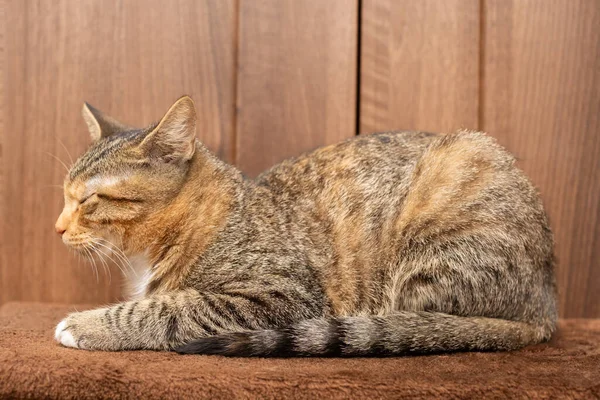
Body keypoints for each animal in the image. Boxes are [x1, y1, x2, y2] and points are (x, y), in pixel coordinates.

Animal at [54, 96, 556, 356]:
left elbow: (164, 309)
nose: (56, 228)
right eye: (64, 194)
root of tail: (544, 310)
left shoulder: (278, 295)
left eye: (88, 199)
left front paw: (86, 324)